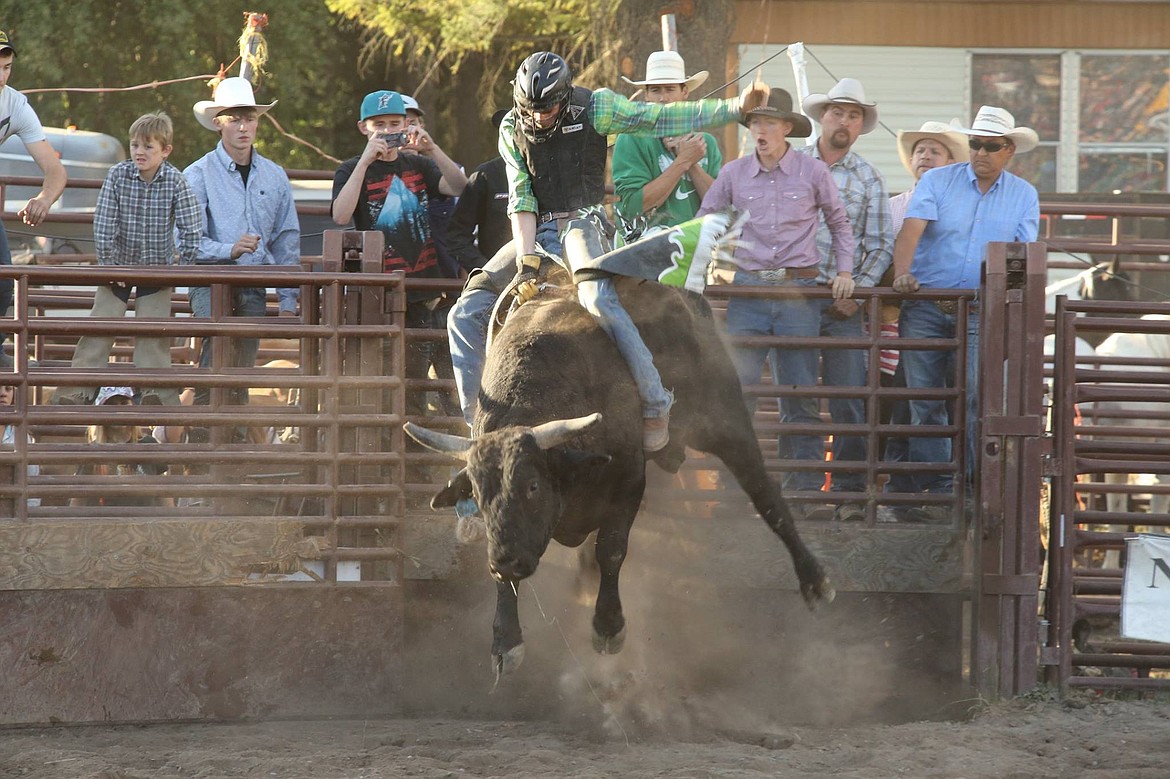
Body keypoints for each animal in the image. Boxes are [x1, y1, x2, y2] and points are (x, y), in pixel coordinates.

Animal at [407, 212, 837, 673]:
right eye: (477, 491)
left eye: (533, 485)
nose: (504, 561)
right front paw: (506, 639)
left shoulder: (629, 479)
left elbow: (611, 550)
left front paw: (608, 626)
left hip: (723, 416)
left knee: (764, 492)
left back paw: (816, 581)